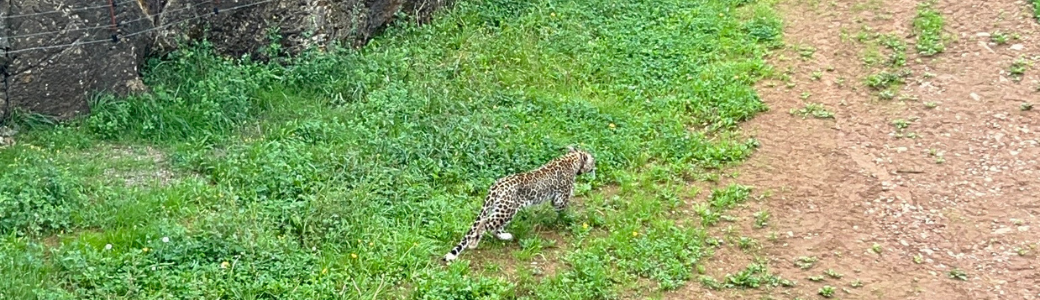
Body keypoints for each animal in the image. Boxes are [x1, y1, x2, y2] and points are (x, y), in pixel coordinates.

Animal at [443, 145, 599, 262]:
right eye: (593, 161)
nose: (595, 167)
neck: (572, 159)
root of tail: (496, 186)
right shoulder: (561, 198)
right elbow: (564, 208)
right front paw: (568, 217)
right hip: (507, 210)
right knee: (485, 223)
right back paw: (474, 243)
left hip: (501, 209)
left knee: (493, 226)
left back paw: (505, 236)